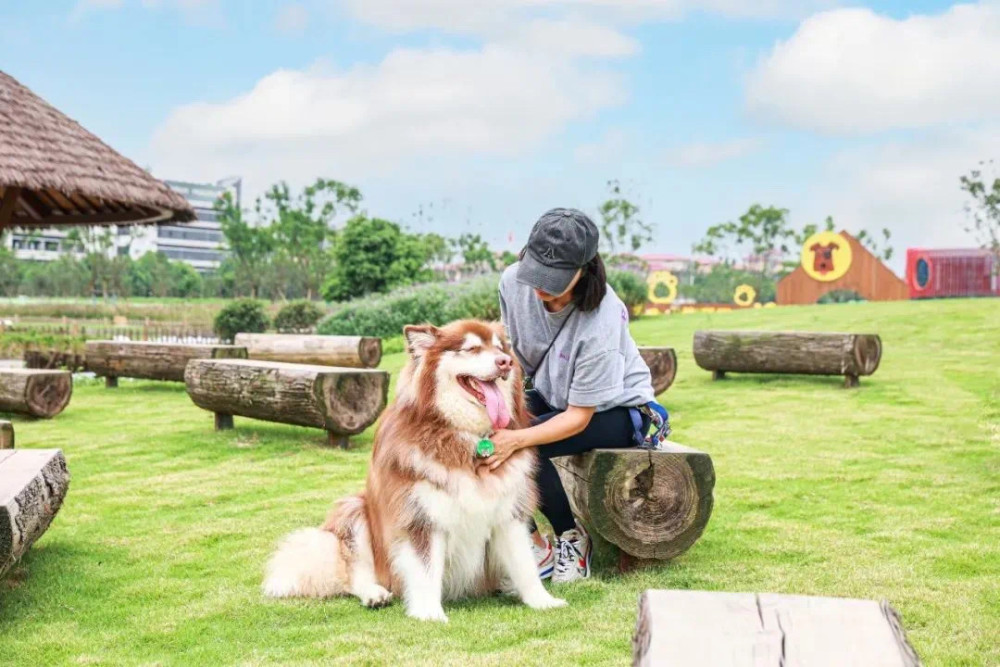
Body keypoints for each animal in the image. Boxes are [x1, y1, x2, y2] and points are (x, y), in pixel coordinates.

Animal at [262, 320, 568, 624]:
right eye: (471, 348)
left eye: (500, 348)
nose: (505, 362)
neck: (463, 436)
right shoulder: (421, 517)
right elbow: (426, 570)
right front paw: (429, 613)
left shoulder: (507, 513)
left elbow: (524, 565)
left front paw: (542, 601)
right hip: (356, 511)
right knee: (353, 573)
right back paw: (374, 594)